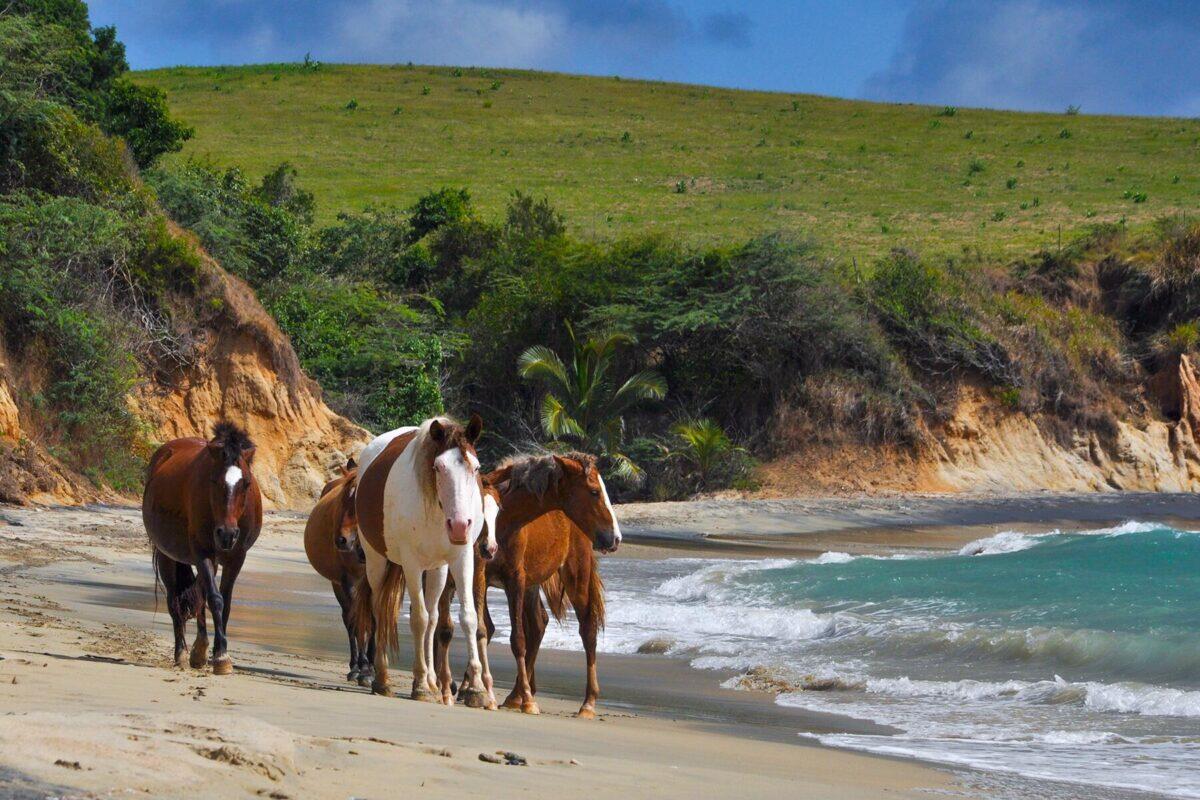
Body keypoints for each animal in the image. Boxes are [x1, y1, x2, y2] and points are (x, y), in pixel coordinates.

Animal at [143, 422, 262, 674]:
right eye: (214, 480)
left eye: (246, 483)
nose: (227, 534)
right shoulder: (202, 553)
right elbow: (215, 599)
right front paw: (220, 656)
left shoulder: (236, 558)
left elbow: (224, 602)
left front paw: (218, 653)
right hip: (168, 557)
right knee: (174, 601)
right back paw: (181, 653)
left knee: (199, 595)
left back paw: (199, 650)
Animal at [304, 457, 378, 686]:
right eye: (344, 500)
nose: (342, 540)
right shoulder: (350, 582)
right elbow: (358, 622)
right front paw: (363, 668)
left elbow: (374, 621)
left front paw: (372, 669)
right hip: (337, 584)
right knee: (349, 619)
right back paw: (354, 665)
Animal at [350, 415, 491, 706]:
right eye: (438, 467)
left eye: (476, 467)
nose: (459, 526)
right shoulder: (412, 564)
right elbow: (419, 619)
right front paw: (421, 685)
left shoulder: (462, 559)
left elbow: (467, 618)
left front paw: (475, 688)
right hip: (376, 561)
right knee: (381, 610)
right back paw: (383, 678)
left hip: (437, 568)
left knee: (434, 617)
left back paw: (434, 682)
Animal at [433, 451, 620, 717]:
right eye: (594, 491)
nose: (614, 538)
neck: (507, 521)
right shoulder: (481, 574)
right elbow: (479, 627)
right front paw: (469, 688)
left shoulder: (515, 578)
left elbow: (516, 638)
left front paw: (523, 699)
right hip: (533, 583)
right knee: (539, 623)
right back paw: (515, 695)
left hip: (576, 573)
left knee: (587, 630)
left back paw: (586, 703)